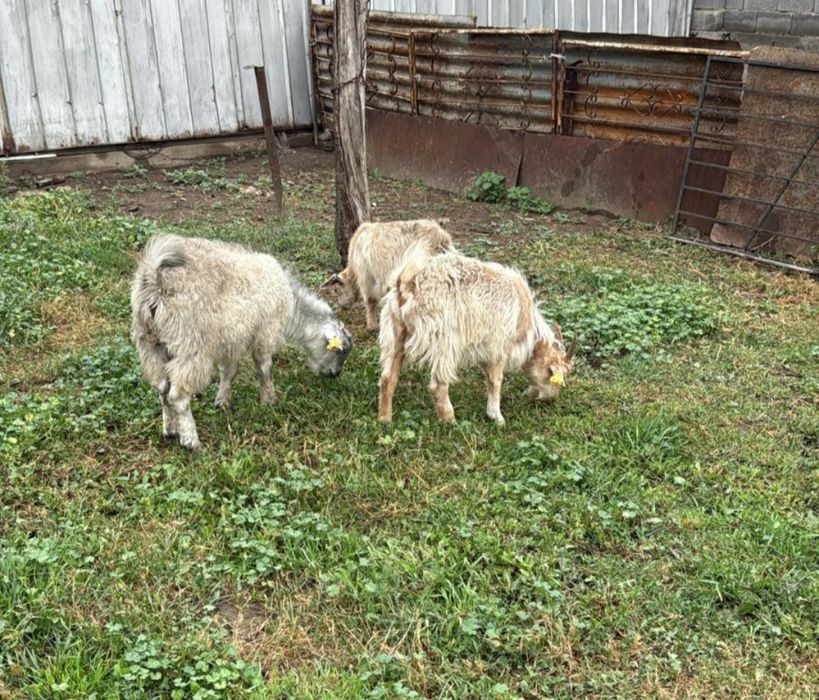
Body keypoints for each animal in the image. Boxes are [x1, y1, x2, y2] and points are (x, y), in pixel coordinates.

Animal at [130, 234, 353, 451]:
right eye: (338, 352)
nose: (335, 374)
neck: (293, 308)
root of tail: (154, 280)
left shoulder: (231, 341)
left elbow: (228, 372)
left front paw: (222, 402)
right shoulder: (264, 333)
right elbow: (264, 369)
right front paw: (269, 400)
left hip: (150, 345)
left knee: (162, 389)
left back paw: (170, 430)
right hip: (191, 344)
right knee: (178, 395)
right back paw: (191, 441)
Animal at [322, 219, 454, 331]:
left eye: (336, 289)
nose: (342, 307)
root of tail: (441, 240)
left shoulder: (366, 278)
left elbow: (370, 301)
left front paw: (372, 326)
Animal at [378, 252, 576, 425]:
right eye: (554, 375)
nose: (550, 400)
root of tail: (407, 282)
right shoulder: (497, 346)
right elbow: (495, 381)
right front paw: (497, 417)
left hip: (394, 331)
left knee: (388, 377)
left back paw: (385, 418)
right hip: (444, 339)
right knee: (438, 384)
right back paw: (450, 421)